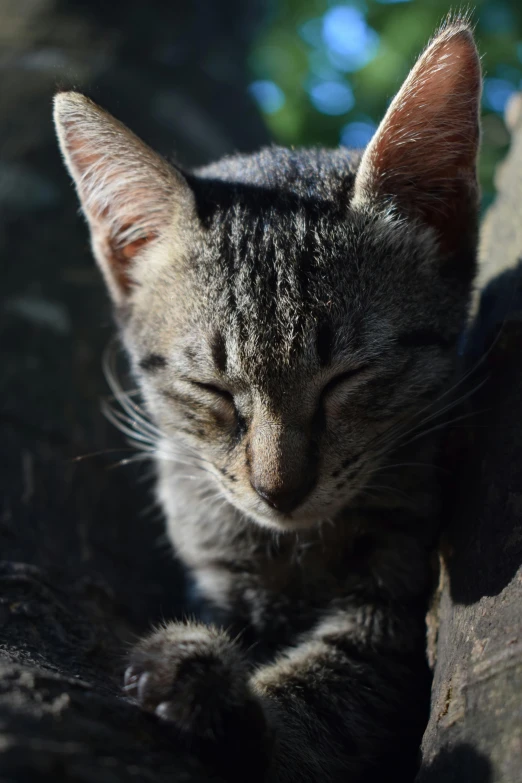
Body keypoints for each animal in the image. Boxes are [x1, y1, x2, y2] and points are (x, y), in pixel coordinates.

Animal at [52, 18, 480, 783]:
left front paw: (223, 697)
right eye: (212, 388)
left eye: (347, 377)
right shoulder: (215, 573)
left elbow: (332, 693)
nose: (280, 490)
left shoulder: (397, 606)